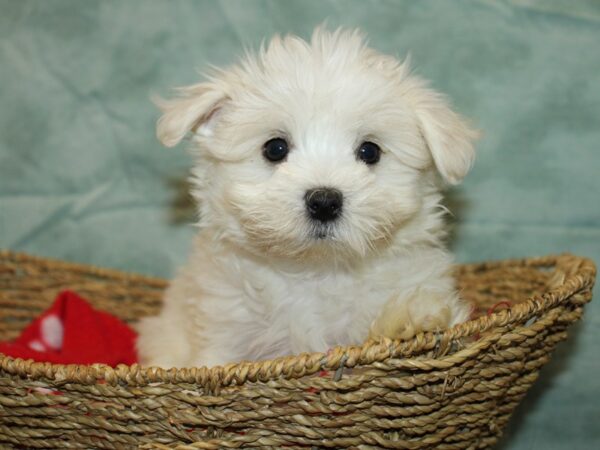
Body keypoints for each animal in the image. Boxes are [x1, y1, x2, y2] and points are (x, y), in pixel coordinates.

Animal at [137, 28, 478, 370]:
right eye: (275, 148)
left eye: (370, 151)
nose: (324, 201)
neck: (317, 271)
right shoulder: (223, 334)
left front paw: (412, 319)